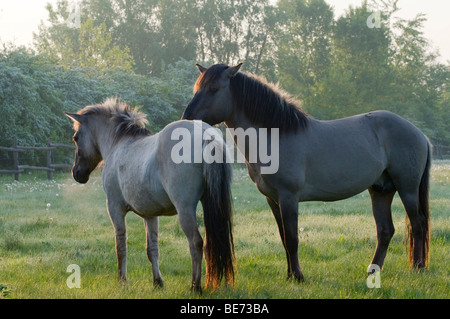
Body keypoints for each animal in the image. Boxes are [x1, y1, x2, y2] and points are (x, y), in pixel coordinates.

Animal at [67, 99, 236, 294]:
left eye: (76, 137)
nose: (77, 173)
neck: (119, 143)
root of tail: (205, 135)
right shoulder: (150, 214)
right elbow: (152, 249)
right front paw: (158, 282)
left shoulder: (115, 208)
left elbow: (121, 246)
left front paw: (122, 281)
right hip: (209, 204)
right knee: (210, 244)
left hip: (185, 210)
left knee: (196, 243)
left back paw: (195, 286)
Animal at [183, 63, 432, 284]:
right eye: (197, 88)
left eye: (214, 89)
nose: (188, 117)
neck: (275, 137)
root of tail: (419, 134)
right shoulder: (273, 200)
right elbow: (284, 238)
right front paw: (289, 275)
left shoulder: (289, 197)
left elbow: (292, 238)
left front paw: (299, 277)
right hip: (381, 190)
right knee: (385, 230)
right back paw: (373, 270)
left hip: (407, 189)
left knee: (418, 224)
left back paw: (418, 267)